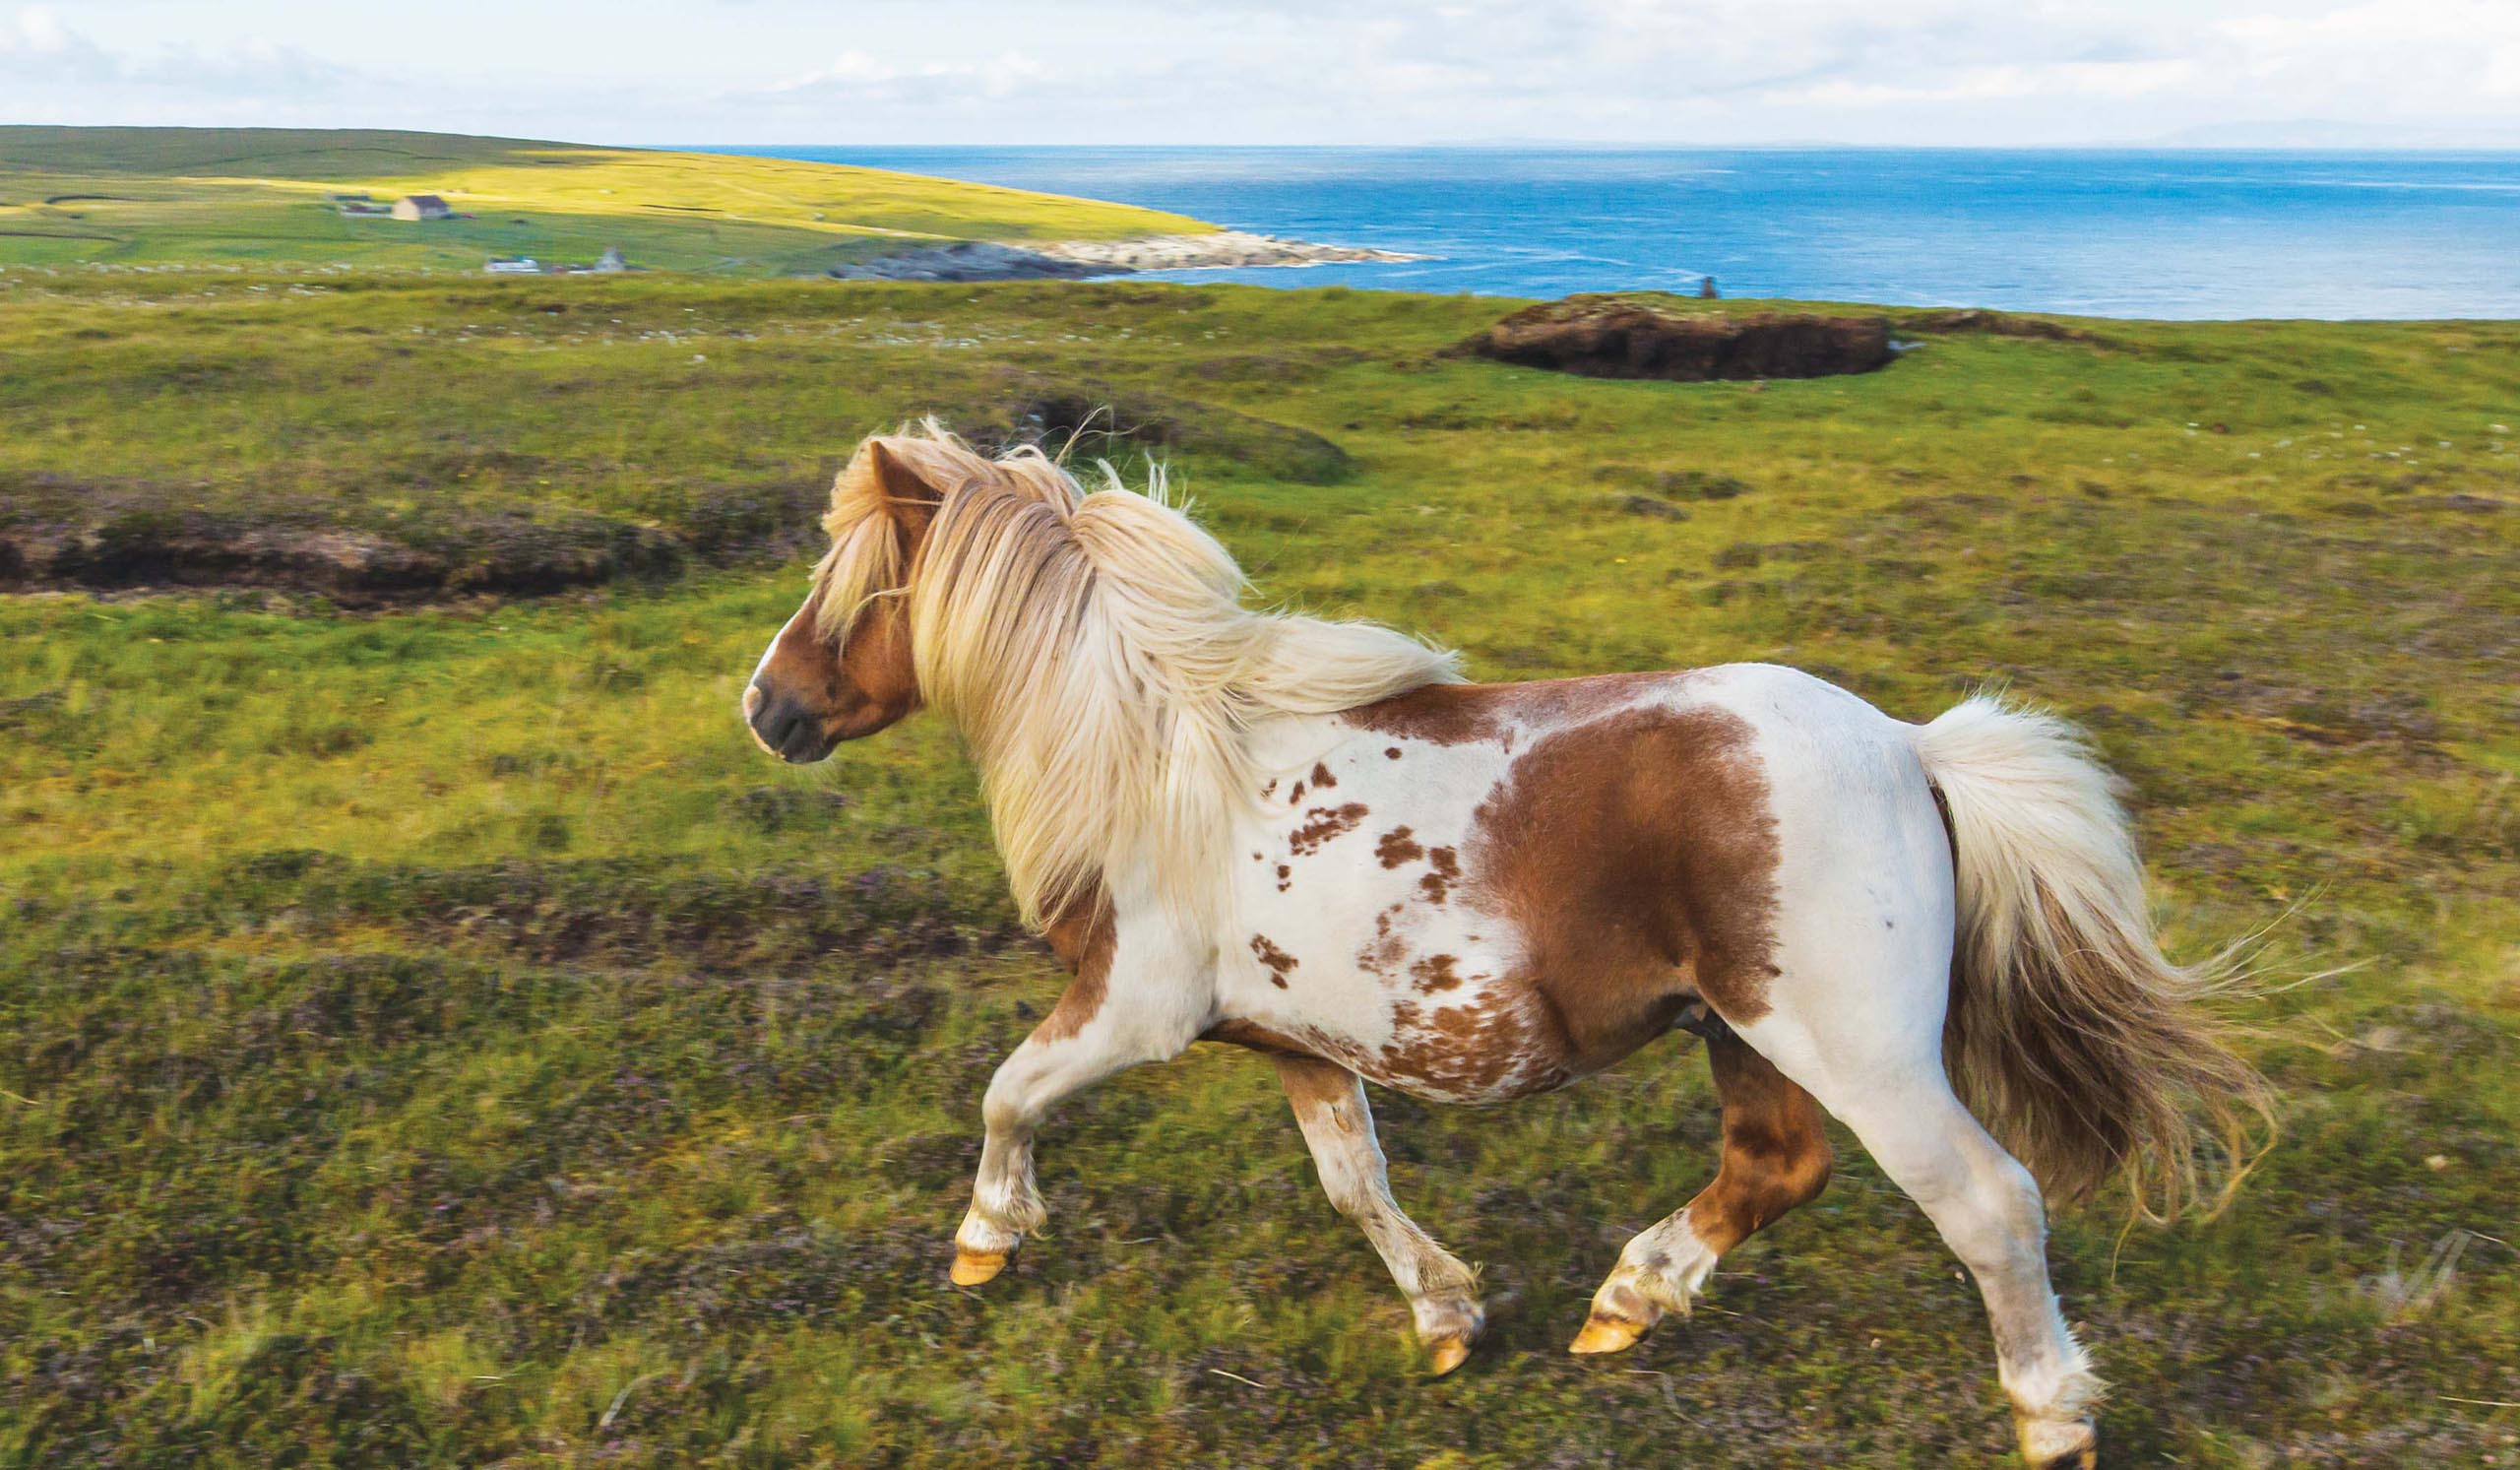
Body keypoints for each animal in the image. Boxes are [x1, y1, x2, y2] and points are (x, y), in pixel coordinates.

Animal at [742, 427, 2270, 1468]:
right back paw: (1625, 1303)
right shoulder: (1296, 1043)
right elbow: (1353, 1185)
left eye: (854, 585)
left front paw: (983, 1243)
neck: (1161, 756)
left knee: (1989, 1204)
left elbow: (1007, 1093)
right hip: (1747, 1034)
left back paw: (2051, 1417)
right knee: (1773, 1170)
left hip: (1861, 1051)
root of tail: (1909, 747)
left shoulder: (1132, 1006)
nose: (764, 708)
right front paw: (1445, 1316)